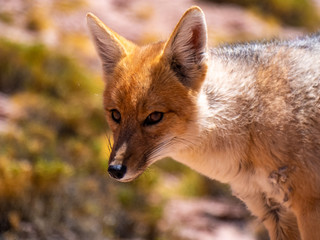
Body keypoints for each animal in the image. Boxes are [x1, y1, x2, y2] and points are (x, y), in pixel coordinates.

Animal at [86, 5, 320, 240]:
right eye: (116, 115)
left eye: (154, 117)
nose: (115, 170)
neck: (253, 120)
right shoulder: (274, 212)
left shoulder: (309, 209)